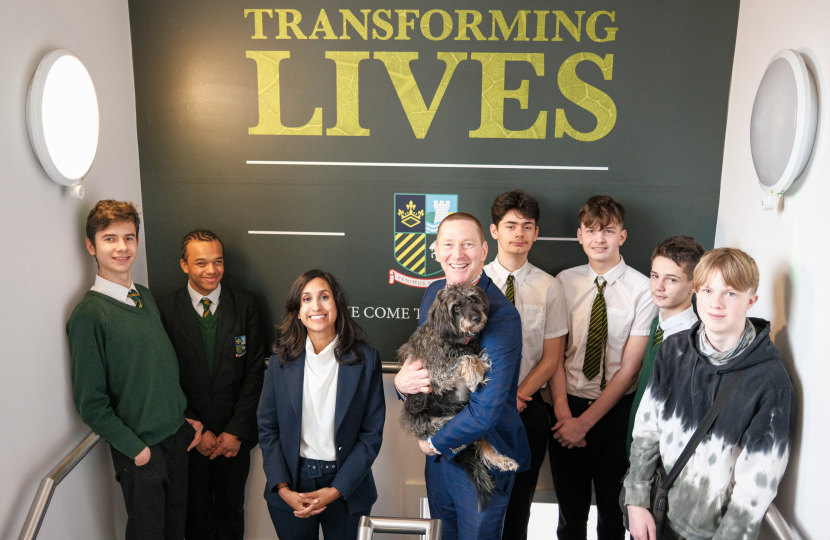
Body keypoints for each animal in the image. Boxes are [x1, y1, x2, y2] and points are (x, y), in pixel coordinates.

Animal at [398, 282, 520, 506]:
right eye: (455, 307)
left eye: (472, 298)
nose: (477, 318)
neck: (454, 339)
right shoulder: (434, 375)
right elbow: (466, 359)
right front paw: (476, 373)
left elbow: (472, 356)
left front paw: (480, 367)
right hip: (445, 423)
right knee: (473, 442)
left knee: (481, 441)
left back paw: (502, 461)